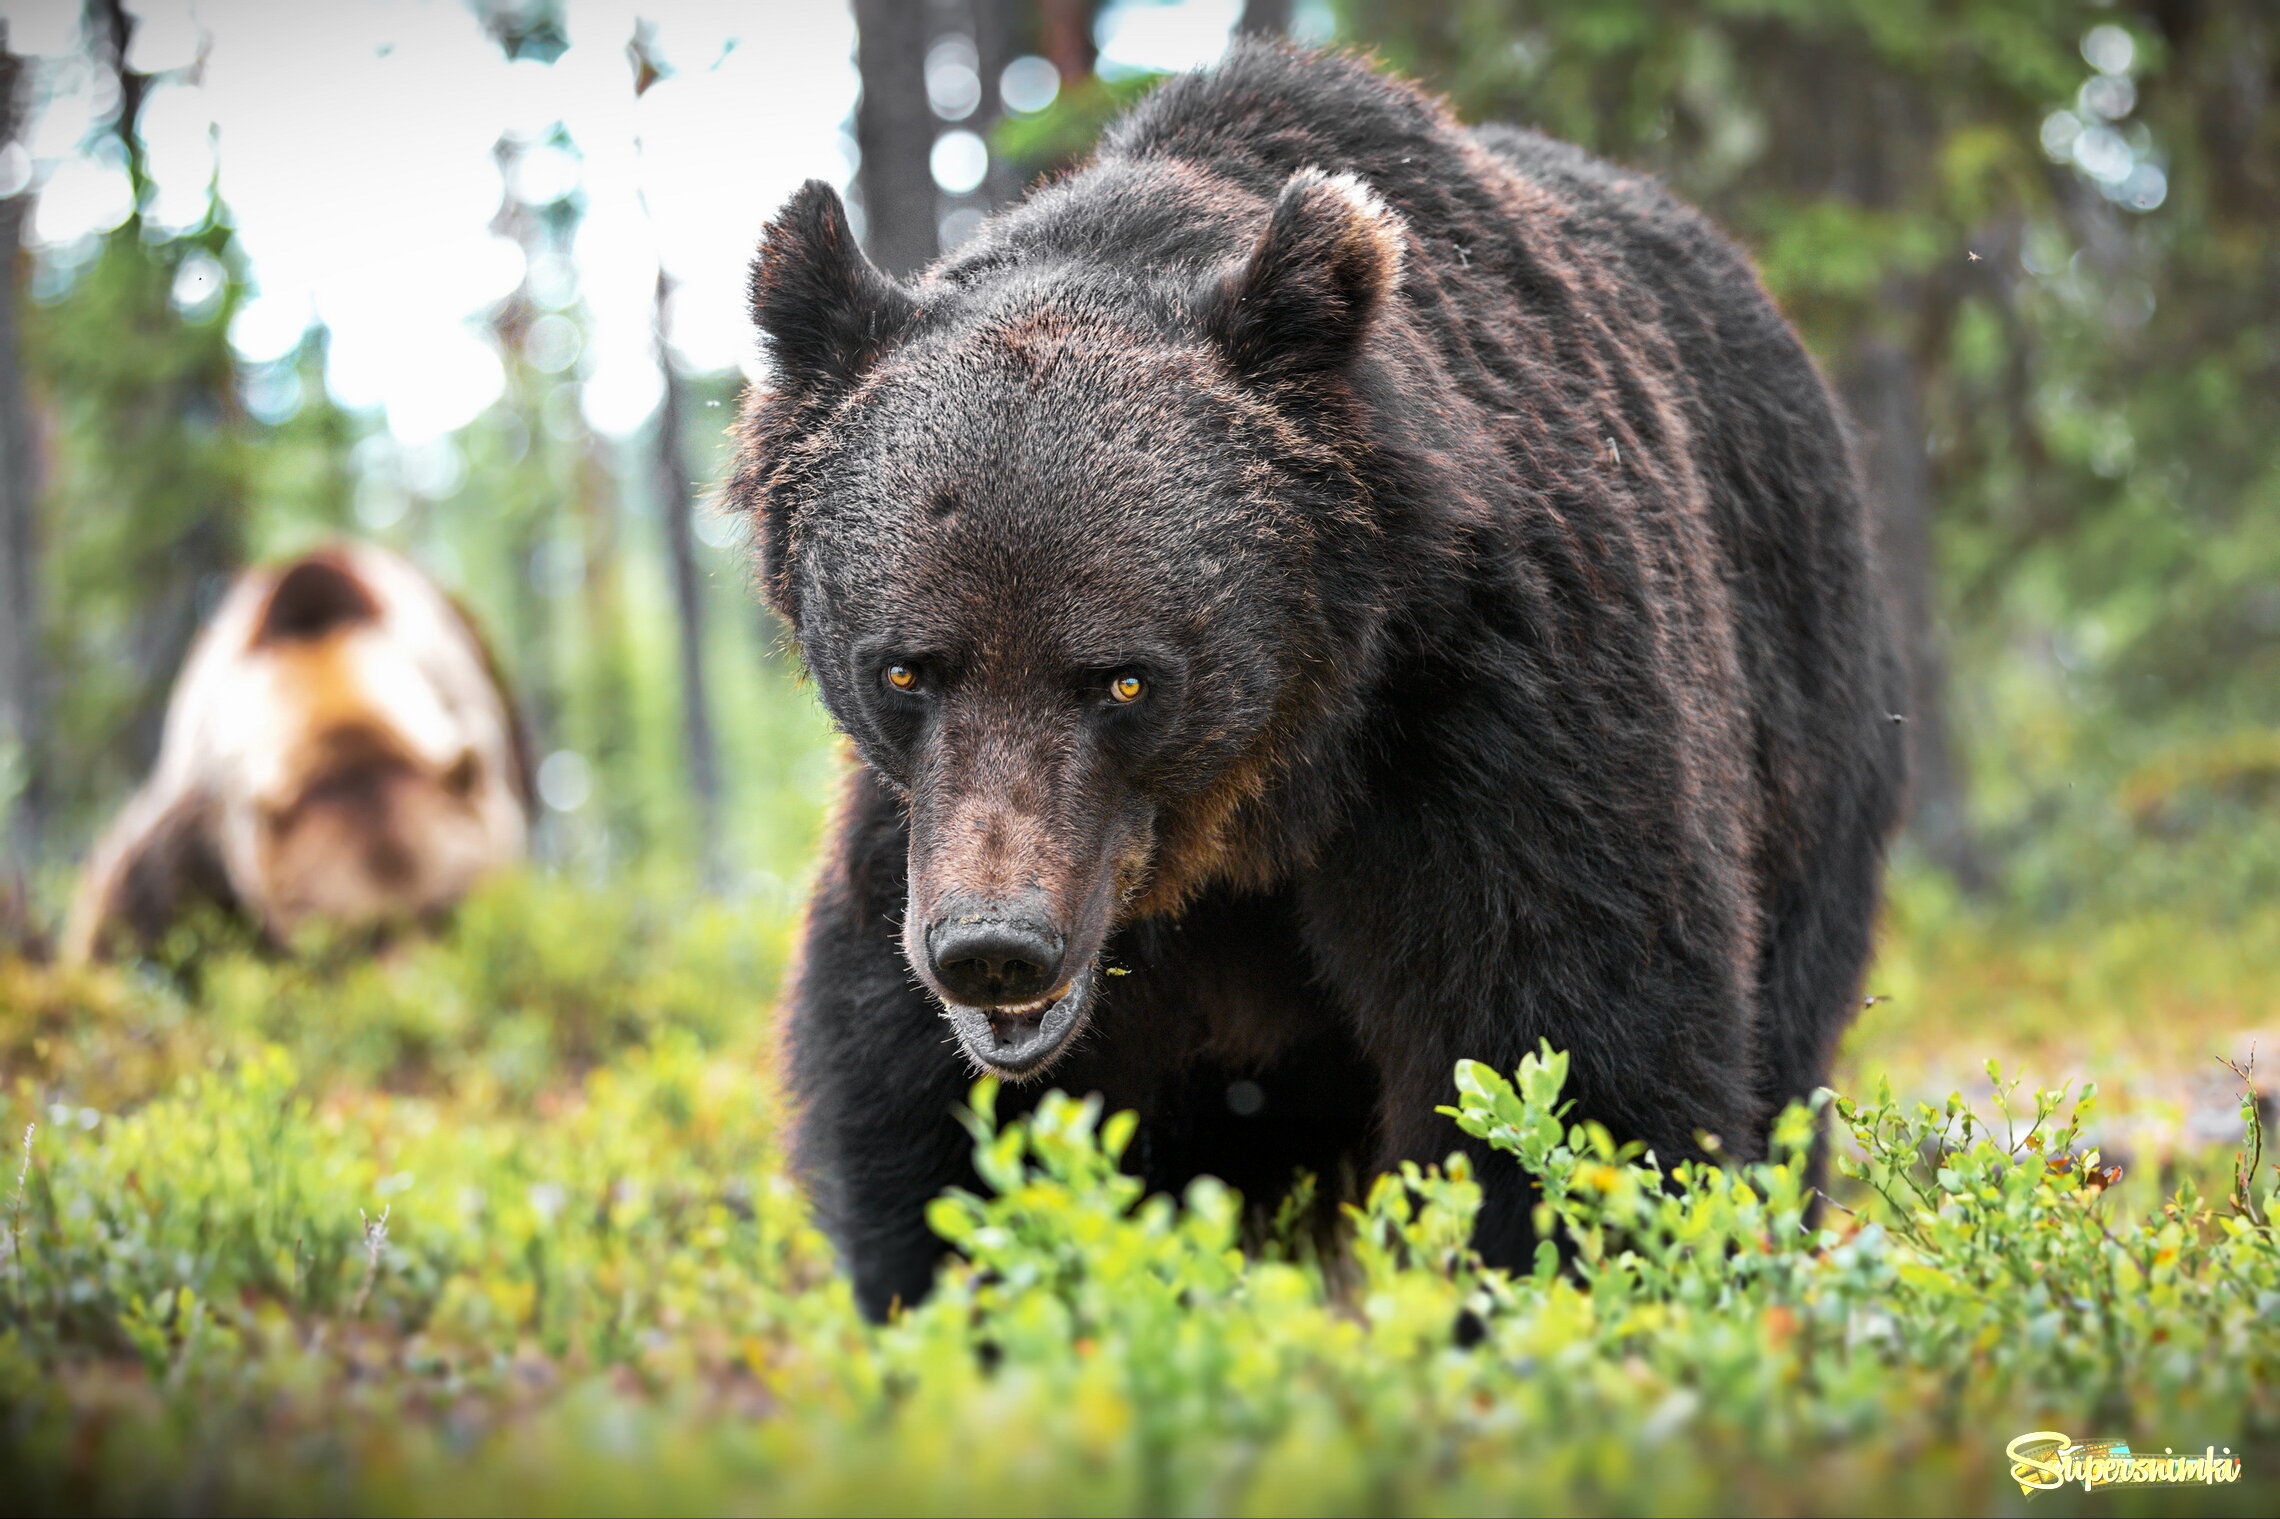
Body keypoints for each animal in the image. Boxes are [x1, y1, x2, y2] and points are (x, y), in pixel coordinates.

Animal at [729, 44, 1906, 1313]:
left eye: (1124, 681)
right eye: (907, 668)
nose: (996, 947)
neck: (1269, 790)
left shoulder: (1504, 711)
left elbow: (1569, 1066)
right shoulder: (915, 842)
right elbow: (921, 1119)